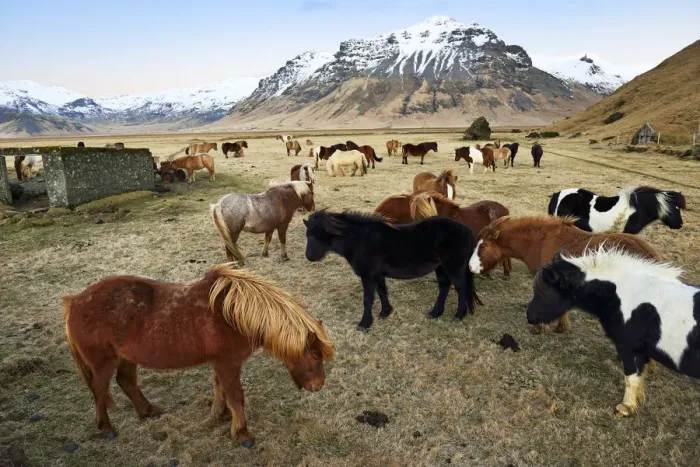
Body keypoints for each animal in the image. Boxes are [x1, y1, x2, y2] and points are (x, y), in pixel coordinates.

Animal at [62, 265, 333, 446]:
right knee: (100, 390)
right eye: (315, 357)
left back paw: (148, 411)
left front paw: (222, 415)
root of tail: (74, 302)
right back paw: (106, 428)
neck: (232, 314)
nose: (319, 385)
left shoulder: (219, 363)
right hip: (103, 363)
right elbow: (236, 396)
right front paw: (242, 434)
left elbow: (220, 388)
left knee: (126, 382)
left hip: (127, 358)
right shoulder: (228, 363)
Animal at [304, 211, 478, 330]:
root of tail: (468, 231)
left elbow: (368, 298)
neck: (361, 241)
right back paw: (435, 313)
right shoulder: (377, 274)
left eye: (318, 235)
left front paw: (365, 323)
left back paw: (459, 315)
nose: (309, 257)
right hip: (441, 267)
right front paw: (385, 312)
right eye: (307, 235)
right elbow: (382, 291)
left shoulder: (368, 275)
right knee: (444, 287)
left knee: (461, 288)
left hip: (453, 267)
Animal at [526, 247, 700, 417]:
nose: (529, 317)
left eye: (542, 292)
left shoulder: (629, 349)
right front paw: (639, 400)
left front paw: (625, 407)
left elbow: (631, 377)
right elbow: (640, 377)